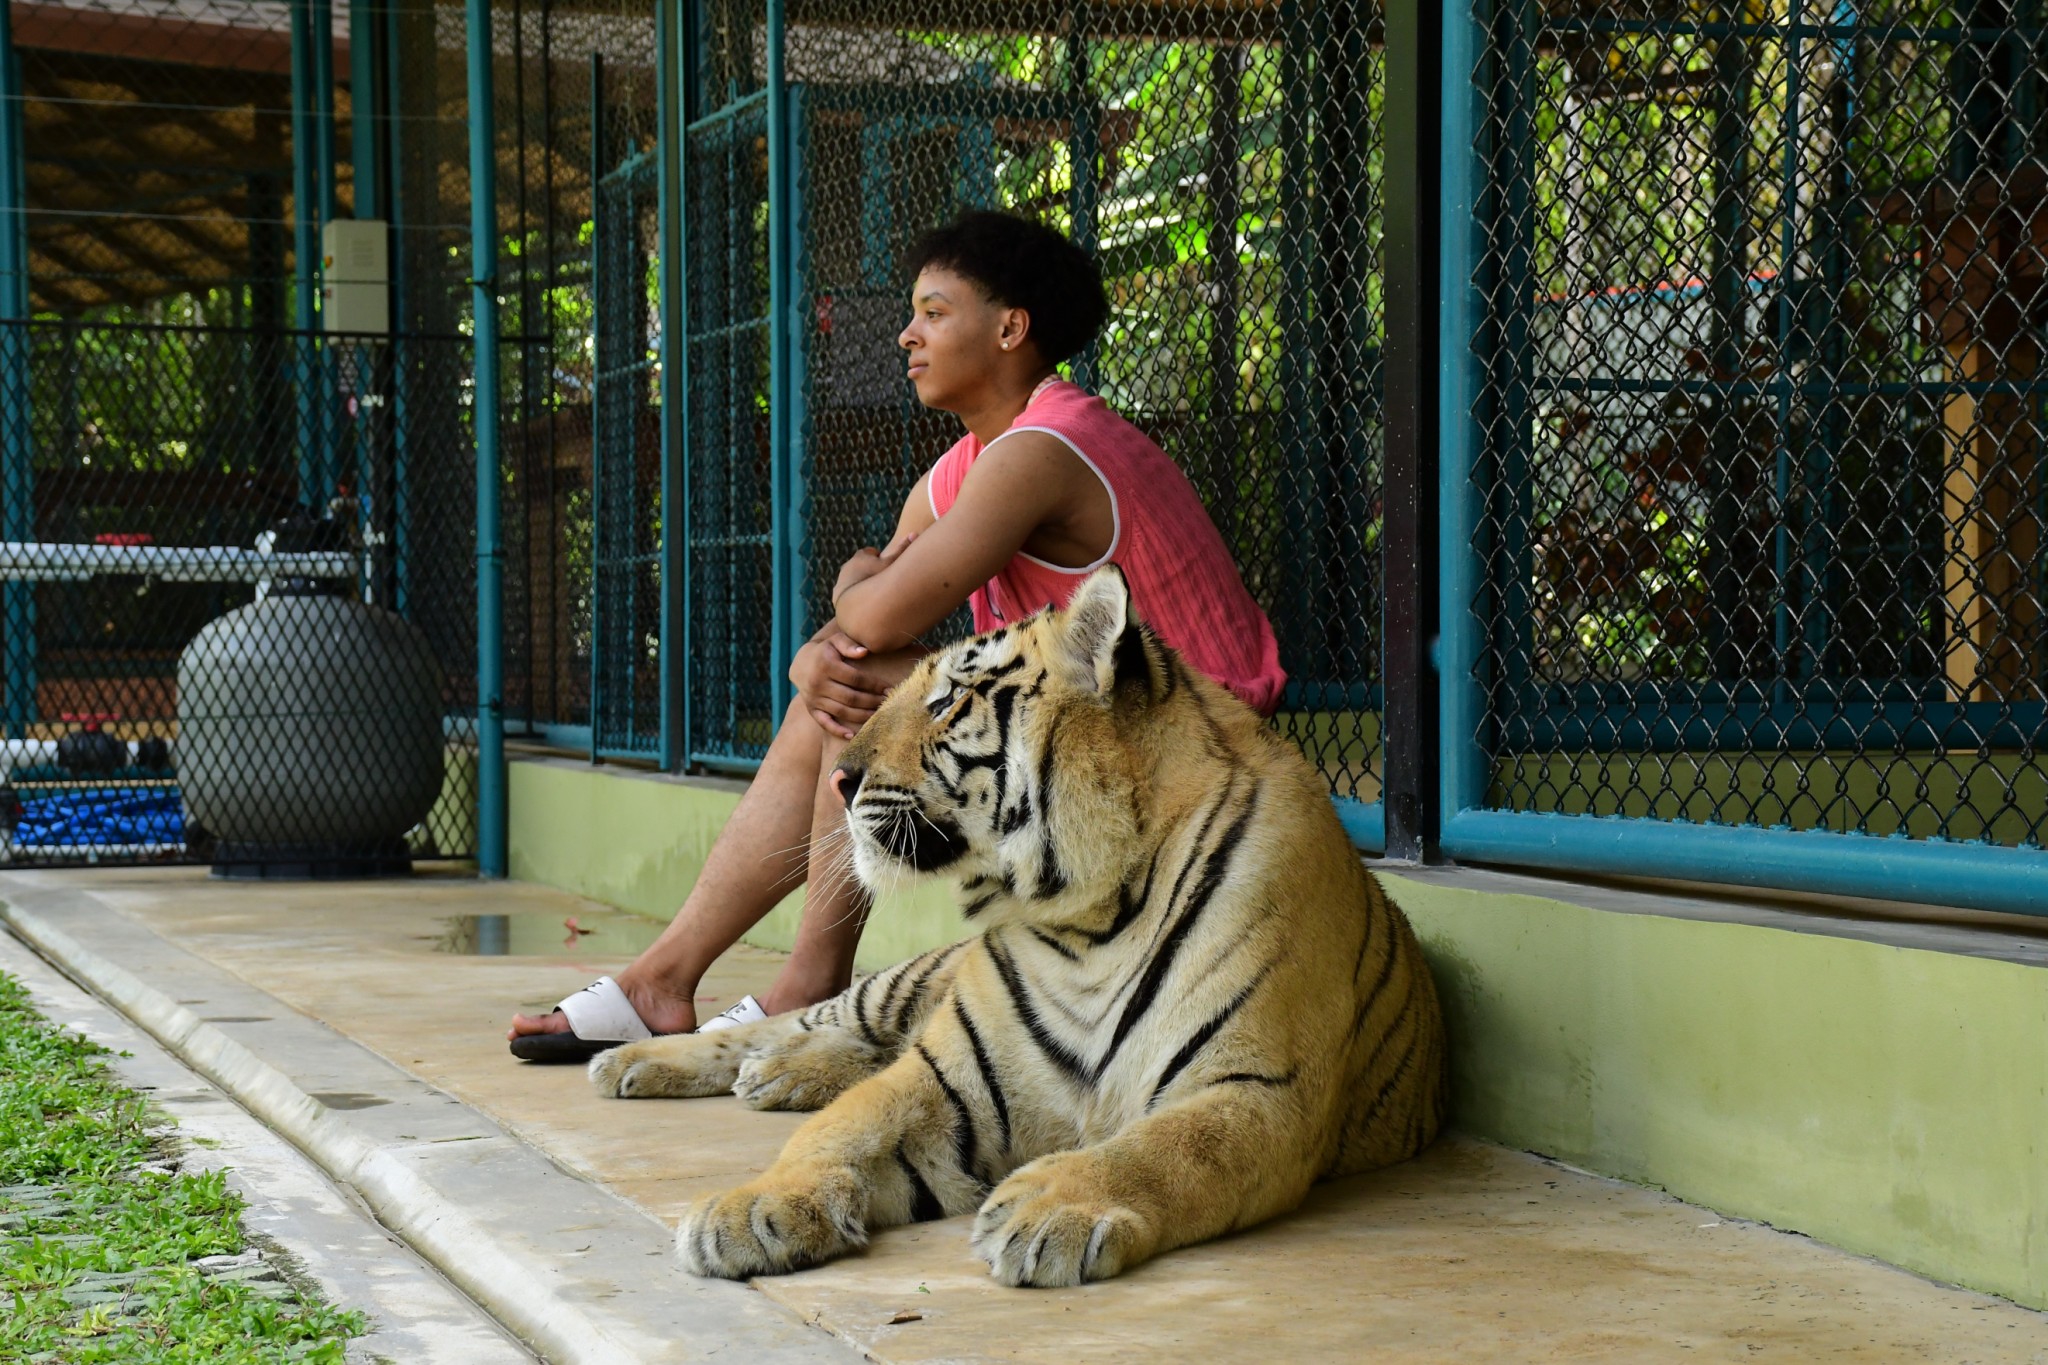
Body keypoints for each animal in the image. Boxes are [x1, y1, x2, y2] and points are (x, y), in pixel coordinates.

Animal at [588, 565, 1448, 1287]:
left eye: (945, 701)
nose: (838, 778)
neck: (1091, 921)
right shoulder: (950, 1074)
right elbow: (842, 1125)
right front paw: (752, 1206)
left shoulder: (1257, 1088)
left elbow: (1163, 1147)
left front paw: (1047, 1206)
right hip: (895, 985)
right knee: (783, 1024)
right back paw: (639, 1056)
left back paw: (777, 1075)